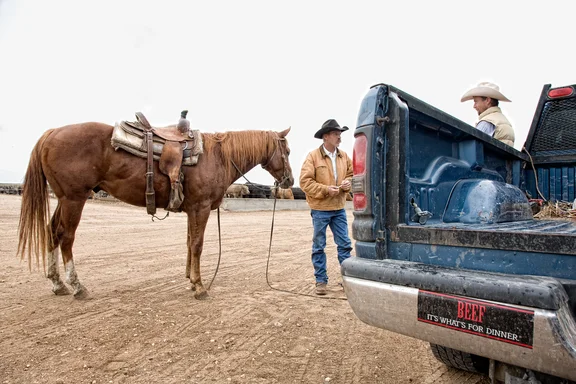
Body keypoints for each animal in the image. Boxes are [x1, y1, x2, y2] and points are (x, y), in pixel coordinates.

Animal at [15, 123, 294, 300]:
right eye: (288, 151)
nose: (289, 180)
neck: (217, 156)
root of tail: (51, 133)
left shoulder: (192, 210)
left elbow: (189, 242)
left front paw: (190, 280)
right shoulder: (201, 207)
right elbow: (198, 245)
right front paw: (200, 286)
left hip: (63, 199)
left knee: (52, 232)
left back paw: (57, 283)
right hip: (74, 199)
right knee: (66, 238)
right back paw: (76, 286)